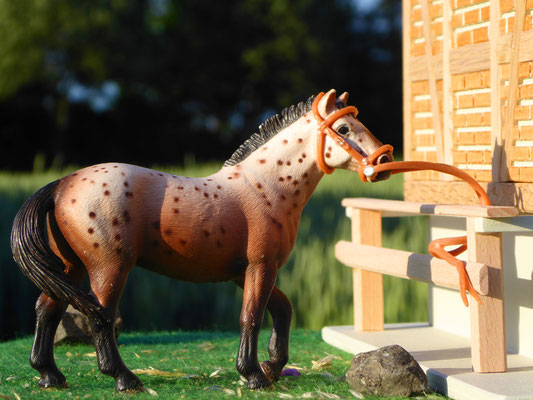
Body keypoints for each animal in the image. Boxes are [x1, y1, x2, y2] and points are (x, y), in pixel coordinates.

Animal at [11, 90, 390, 390]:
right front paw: (253, 375)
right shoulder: (260, 267)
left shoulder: (245, 273)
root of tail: (62, 184)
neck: (267, 186)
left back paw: (50, 376)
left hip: (70, 266)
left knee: (47, 308)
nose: (384, 161)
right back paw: (124, 378)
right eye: (344, 129)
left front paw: (272, 367)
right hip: (109, 267)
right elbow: (251, 316)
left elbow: (282, 309)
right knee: (100, 316)